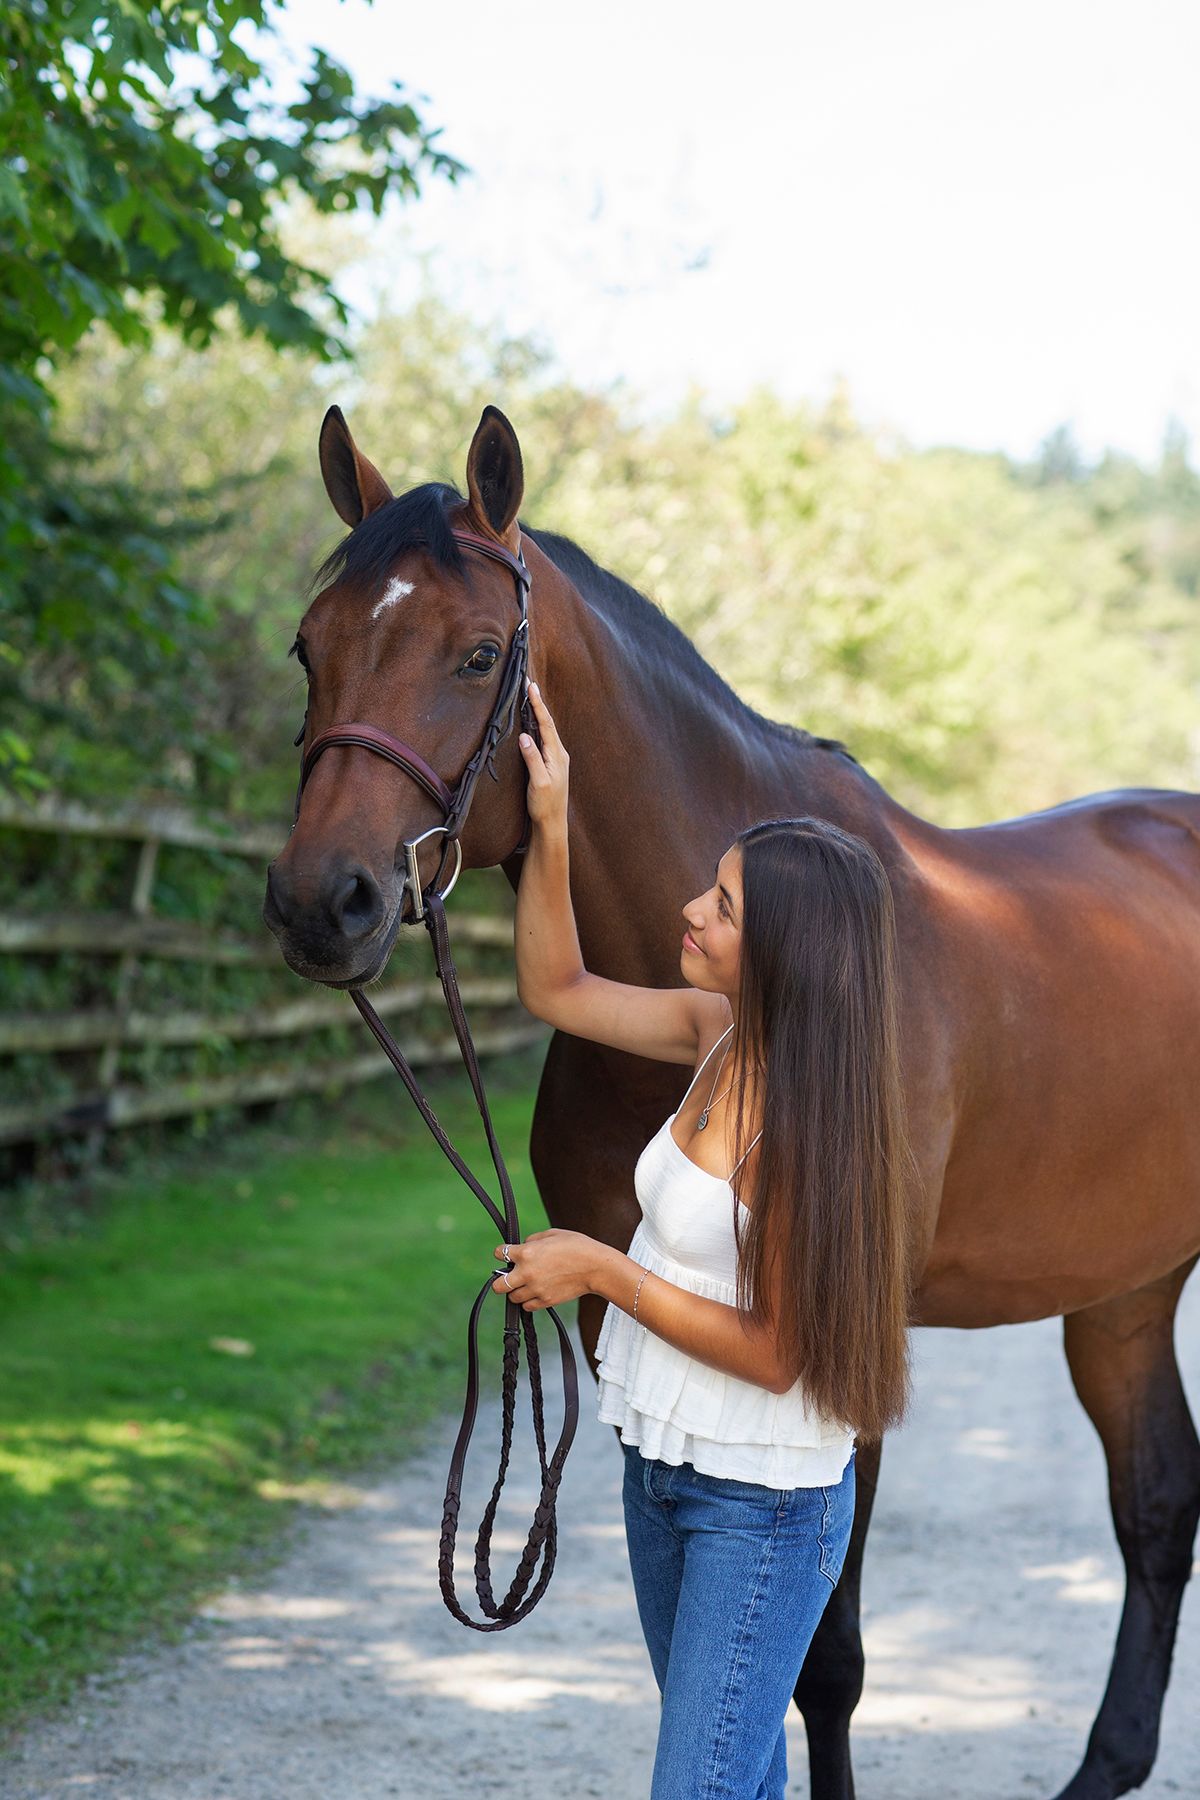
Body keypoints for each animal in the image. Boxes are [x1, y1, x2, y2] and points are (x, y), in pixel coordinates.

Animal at [263, 403, 1200, 1800]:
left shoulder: (838, 1345)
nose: (324, 904)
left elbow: (824, 1660)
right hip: (1126, 1287)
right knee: (1156, 1506)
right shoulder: (612, 1306)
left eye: (478, 654)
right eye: (308, 646)